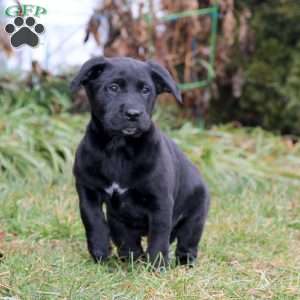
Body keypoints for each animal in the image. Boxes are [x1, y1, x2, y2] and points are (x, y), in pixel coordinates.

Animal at [71, 55, 210, 264]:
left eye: (146, 90)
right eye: (113, 87)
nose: (133, 113)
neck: (118, 148)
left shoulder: (160, 201)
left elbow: (159, 236)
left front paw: (157, 265)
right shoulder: (88, 192)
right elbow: (93, 220)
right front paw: (100, 253)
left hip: (195, 217)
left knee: (187, 242)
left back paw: (184, 262)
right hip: (117, 219)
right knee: (128, 241)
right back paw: (131, 259)